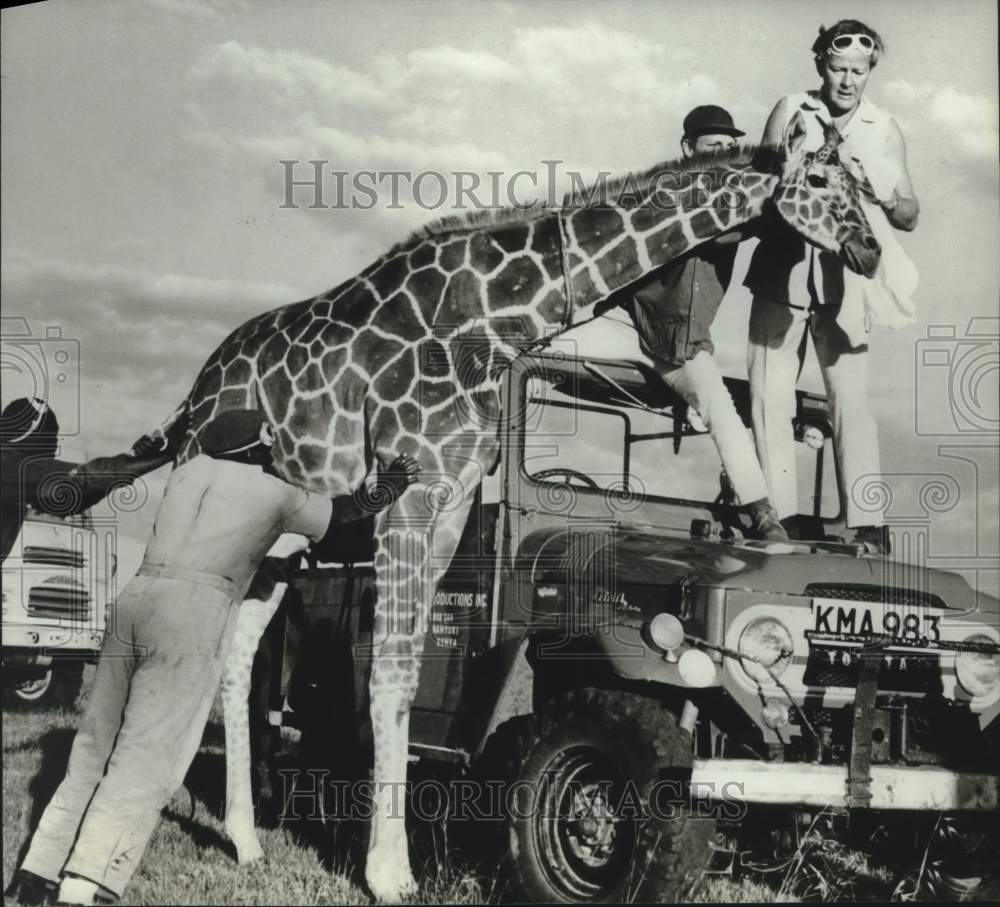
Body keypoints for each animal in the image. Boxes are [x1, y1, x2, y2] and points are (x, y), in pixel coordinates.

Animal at [145, 111, 880, 900]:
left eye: (862, 185)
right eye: (818, 180)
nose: (869, 251)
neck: (497, 319)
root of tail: (199, 387)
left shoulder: (453, 497)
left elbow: (405, 673)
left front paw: (393, 859)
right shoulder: (409, 492)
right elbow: (387, 674)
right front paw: (388, 872)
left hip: (285, 539)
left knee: (240, 648)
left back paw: (246, 839)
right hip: (211, 496)